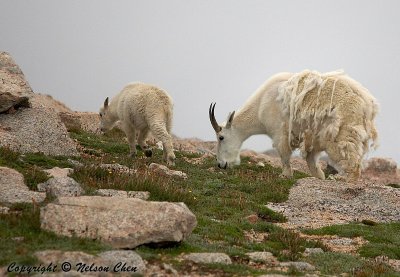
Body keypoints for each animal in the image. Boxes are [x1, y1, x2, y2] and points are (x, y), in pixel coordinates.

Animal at [209, 69, 378, 181]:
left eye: (221, 137)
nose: (221, 164)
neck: (260, 107)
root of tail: (366, 103)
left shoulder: (280, 132)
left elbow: (284, 155)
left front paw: (285, 175)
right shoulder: (311, 139)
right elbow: (312, 161)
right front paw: (320, 176)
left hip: (342, 133)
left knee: (351, 163)